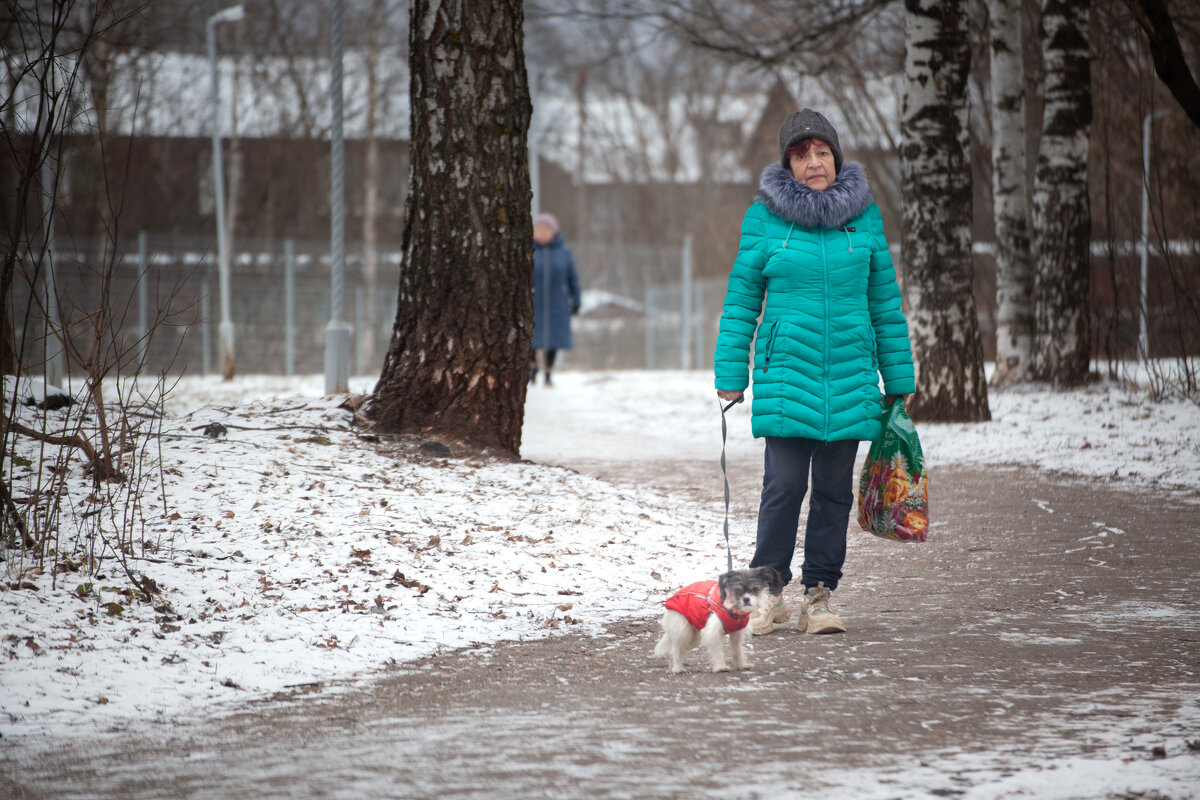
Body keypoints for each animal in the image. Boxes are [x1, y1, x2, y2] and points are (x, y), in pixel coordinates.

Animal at [652, 566, 782, 671]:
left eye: (754, 589)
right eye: (737, 591)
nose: (746, 599)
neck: (732, 610)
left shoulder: (737, 633)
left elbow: (737, 650)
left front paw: (741, 665)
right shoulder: (713, 632)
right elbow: (718, 650)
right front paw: (721, 667)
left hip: (693, 635)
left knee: (682, 647)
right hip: (684, 629)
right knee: (676, 648)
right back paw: (678, 668)